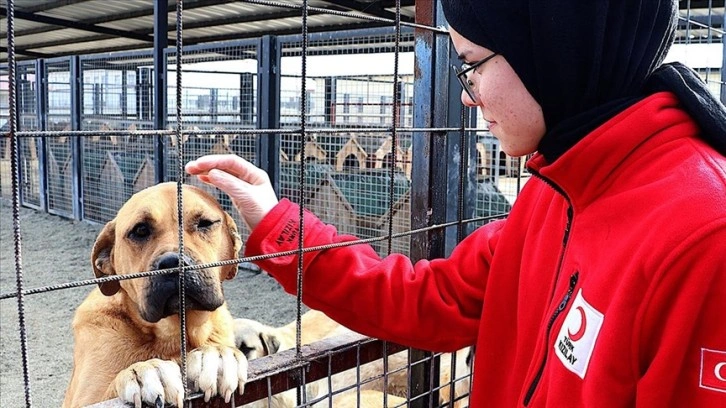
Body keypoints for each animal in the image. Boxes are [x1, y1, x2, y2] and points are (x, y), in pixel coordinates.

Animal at [61, 183, 247, 408]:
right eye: (140, 230)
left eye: (205, 223)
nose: (174, 263)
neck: (173, 336)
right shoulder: (83, 399)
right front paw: (144, 370)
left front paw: (216, 356)